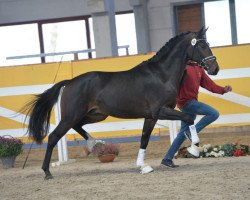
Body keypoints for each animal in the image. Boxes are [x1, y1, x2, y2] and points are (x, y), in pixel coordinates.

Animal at [23, 27, 219, 179]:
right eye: (202, 45)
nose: (215, 69)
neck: (161, 75)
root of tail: (70, 82)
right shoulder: (160, 111)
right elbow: (188, 118)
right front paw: (194, 148)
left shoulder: (151, 117)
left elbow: (145, 138)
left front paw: (143, 166)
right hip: (71, 116)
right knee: (53, 137)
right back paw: (47, 172)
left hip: (95, 115)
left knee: (77, 127)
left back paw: (94, 144)